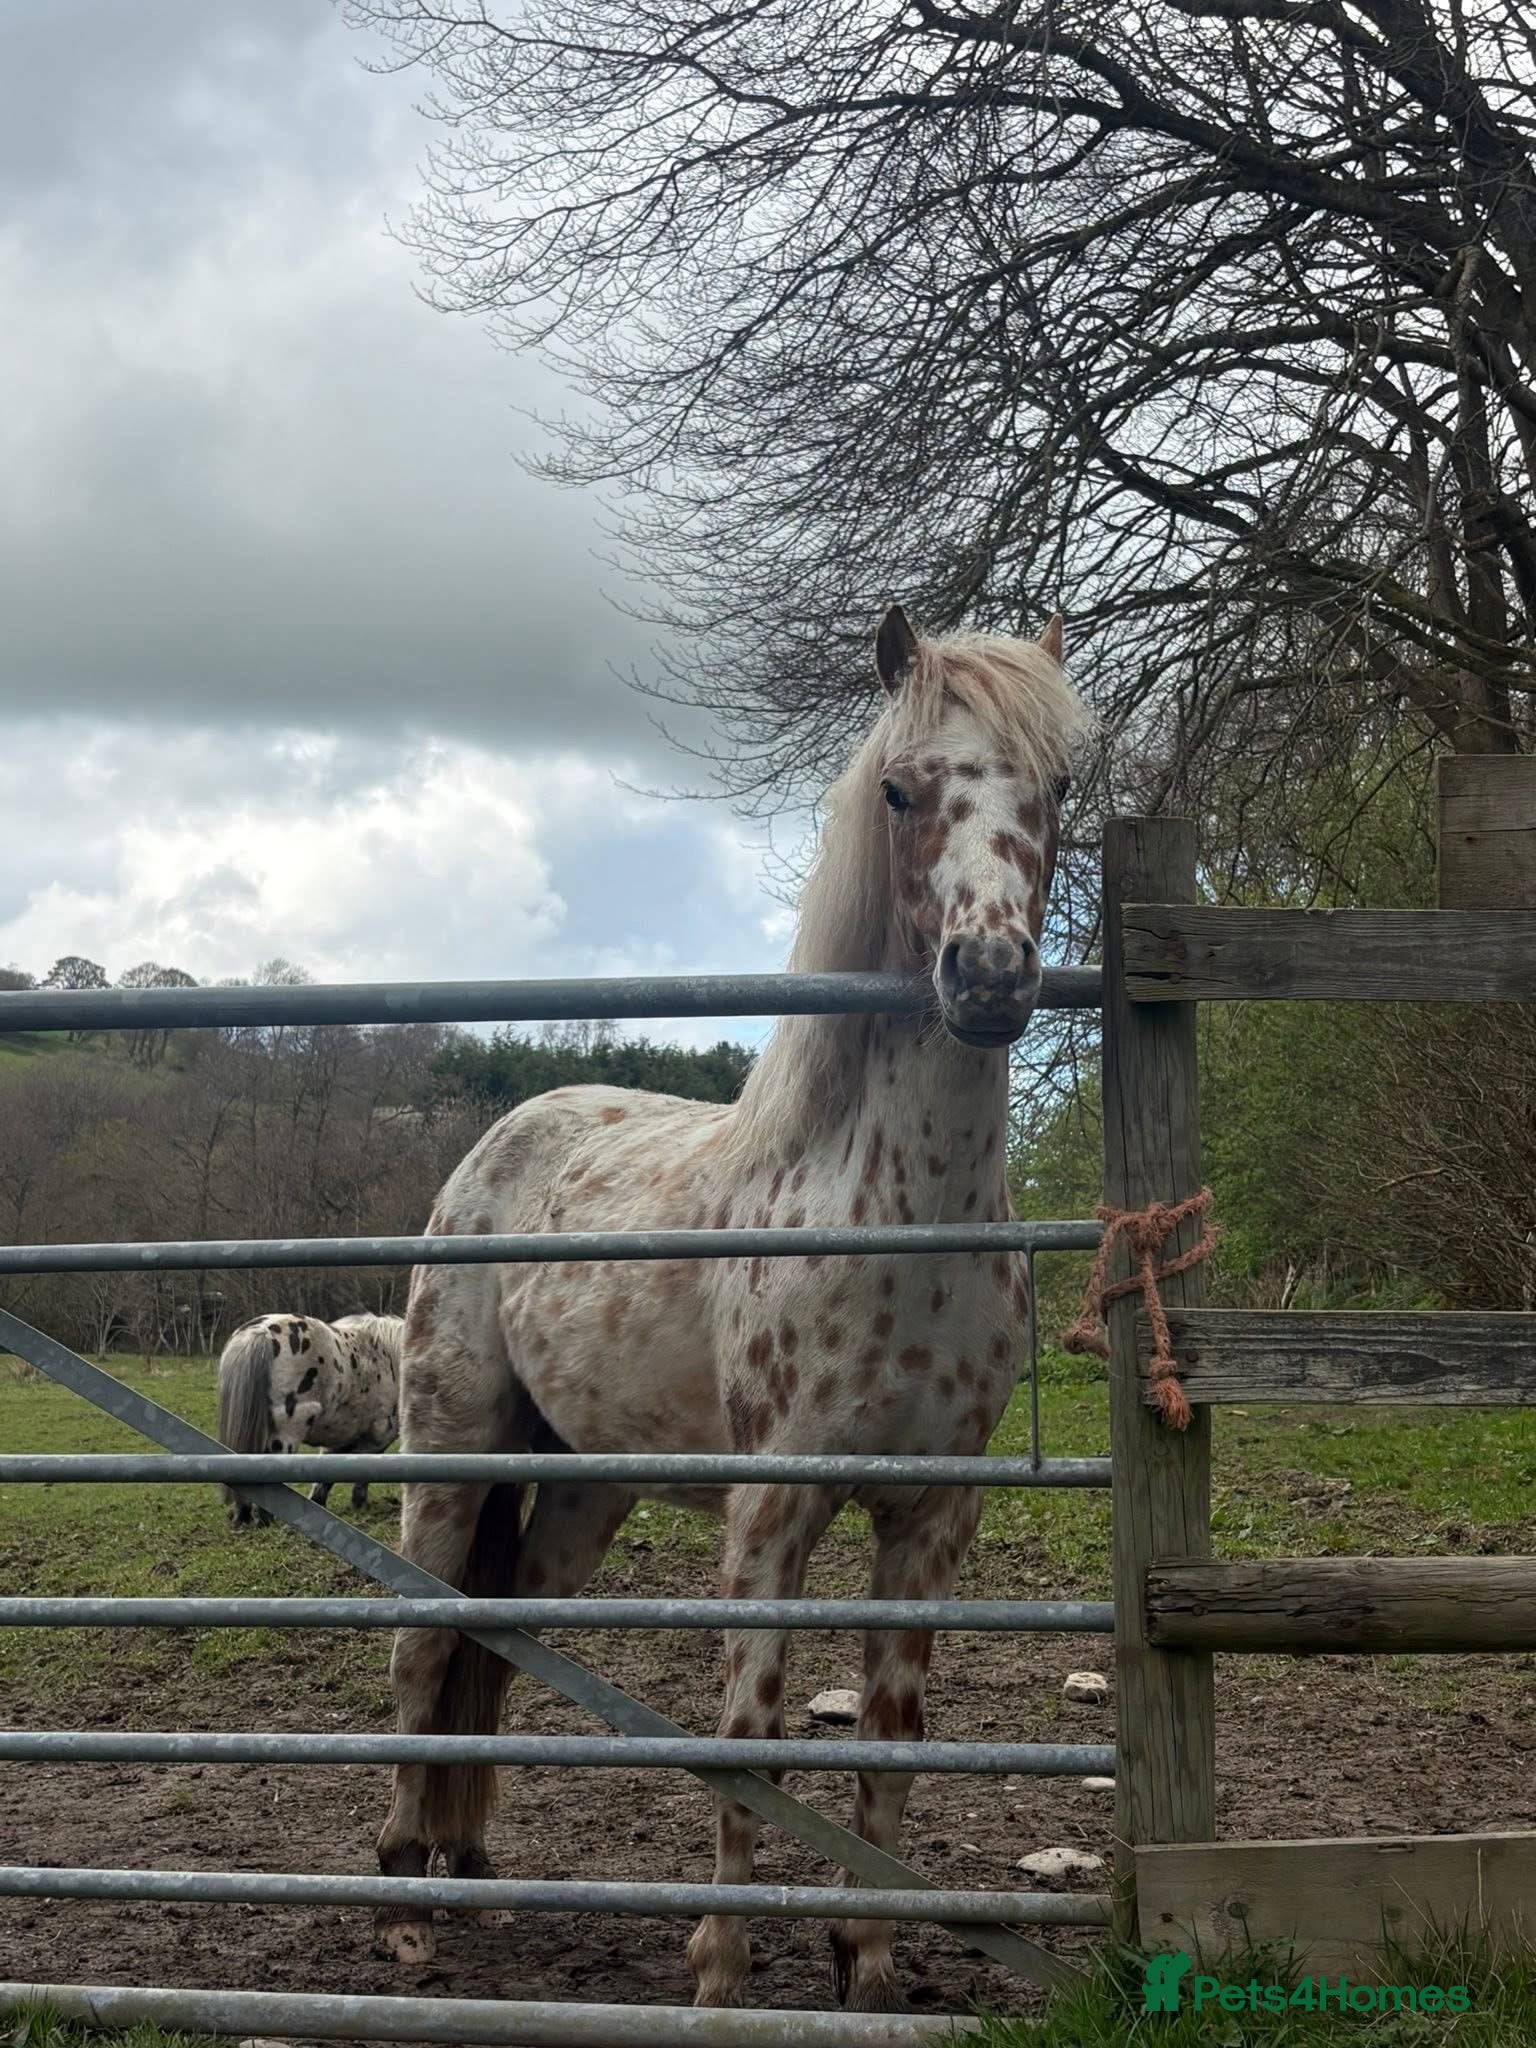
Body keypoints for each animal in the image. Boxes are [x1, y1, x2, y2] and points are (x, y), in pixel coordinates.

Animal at [216, 1311, 403, 1525]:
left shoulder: (338, 1441)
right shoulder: (377, 1439)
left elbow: (325, 1479)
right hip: (286, 1437)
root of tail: (260, 1332)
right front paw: (359, 1505)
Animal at [376, 607, 1088, 2010]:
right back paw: (401, 1898)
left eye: (1059, 787)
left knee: (502, 1633)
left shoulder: (932, 1519)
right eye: (899, 788)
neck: (892, 1214)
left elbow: (890, 1739)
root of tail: (498, 1139)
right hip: (451, 1453)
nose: (988, 976)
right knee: (425, 1647)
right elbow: (748, 1730)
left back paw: (462, 1863)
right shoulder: (773, 1511)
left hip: (580, 1488)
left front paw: (868, 1967)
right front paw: (719, 1968)